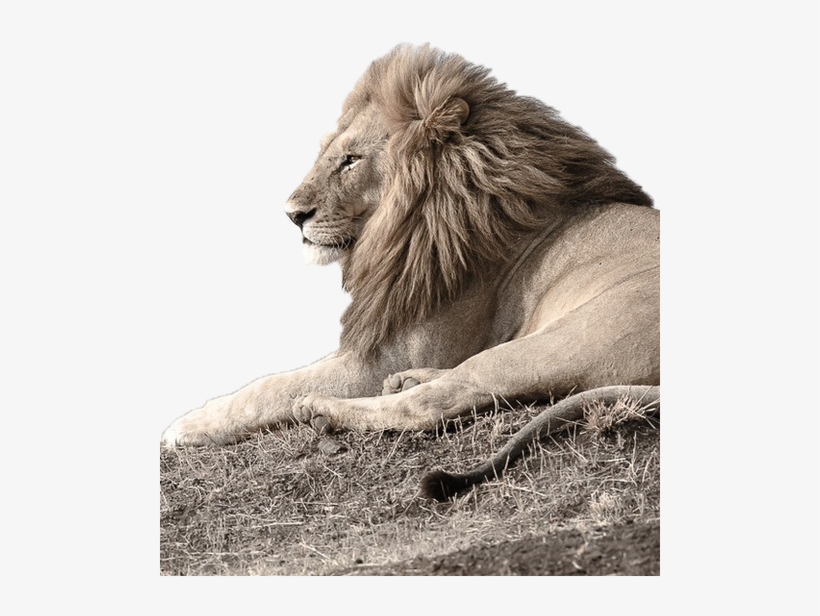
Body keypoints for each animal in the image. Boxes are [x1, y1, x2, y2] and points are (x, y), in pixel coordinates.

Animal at [161, 44, 660, 500]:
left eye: (351, 160)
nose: (292, 215)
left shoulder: (383, 355)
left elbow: (270, 386)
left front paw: (188, 425)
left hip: (565, 338)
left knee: (434, 403)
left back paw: (325, 409)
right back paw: (408, 379)